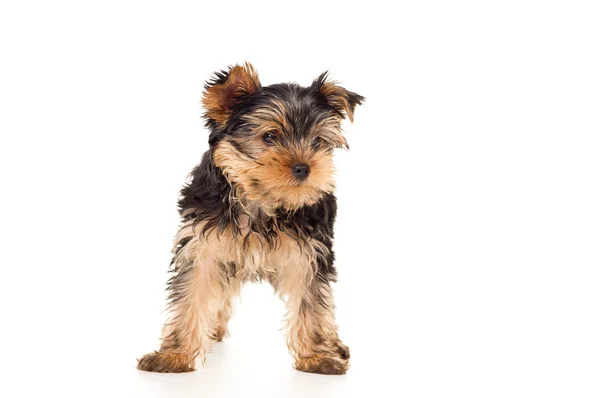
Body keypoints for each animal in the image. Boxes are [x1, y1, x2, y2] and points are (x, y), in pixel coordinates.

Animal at [138, 63, 364, 376]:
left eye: (318, 141)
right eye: (269, 136)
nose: (304, 167)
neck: (261, 202)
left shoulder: (309, 253)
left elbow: (312, 302)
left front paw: (318, 357)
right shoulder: (201, 247)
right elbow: (190, 294)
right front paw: (174, 356)